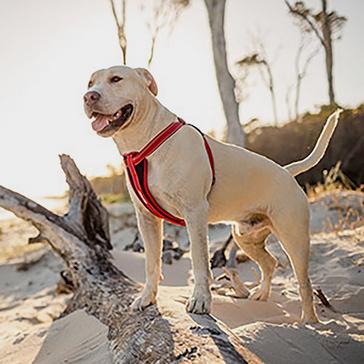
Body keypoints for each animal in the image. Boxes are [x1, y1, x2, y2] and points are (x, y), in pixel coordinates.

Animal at [83, 64, 342, 322]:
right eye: (90, 83)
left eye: (116, 79)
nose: (88, 97)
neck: (144, 143)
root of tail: (287, 171)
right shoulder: (146, 218)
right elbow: (151, 262)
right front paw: (147, 298)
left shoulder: (195, 213)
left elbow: (199, 261)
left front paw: (200, 300)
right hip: (245, 236)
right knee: (270, 263)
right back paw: (261, 294)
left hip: (294, 239)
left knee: (304, 282)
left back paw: (309, 320)